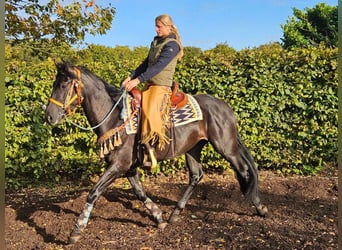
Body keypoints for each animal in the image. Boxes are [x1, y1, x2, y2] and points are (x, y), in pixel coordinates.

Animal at [44, 62, 268, 244]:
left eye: (63, 85)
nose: (49, 116)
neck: (116, 117)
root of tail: (225, 107)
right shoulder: (128, 167)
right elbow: (140, 192)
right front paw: (159, 217)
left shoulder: (118, 166)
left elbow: (93, 192)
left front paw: (76, 230)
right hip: (193, 149)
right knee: (196, 175)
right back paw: (175, 214)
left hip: (225, 146)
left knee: (245, 171)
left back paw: (259, 206)